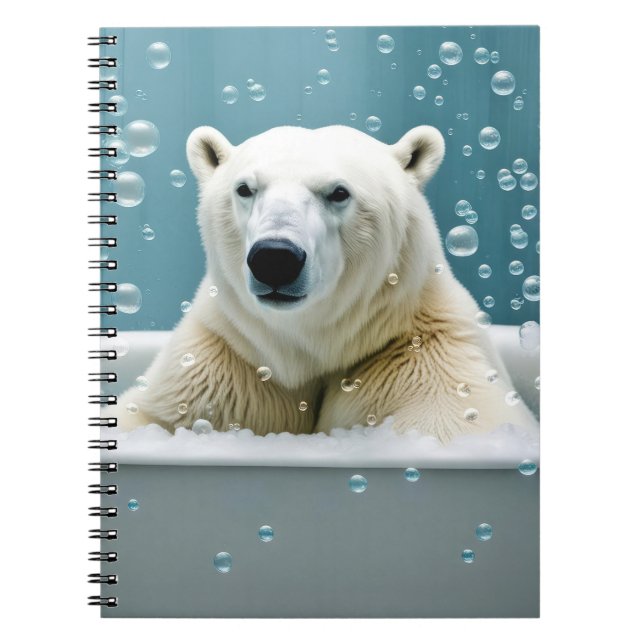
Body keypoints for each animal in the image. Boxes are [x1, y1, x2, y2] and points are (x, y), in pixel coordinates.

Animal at [115, 124, 536, 442]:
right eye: (245, 188)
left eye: (339, 192)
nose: (275, 259)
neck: (309, 345)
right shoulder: (229, 357)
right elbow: (153, 417)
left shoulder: (418, 355)